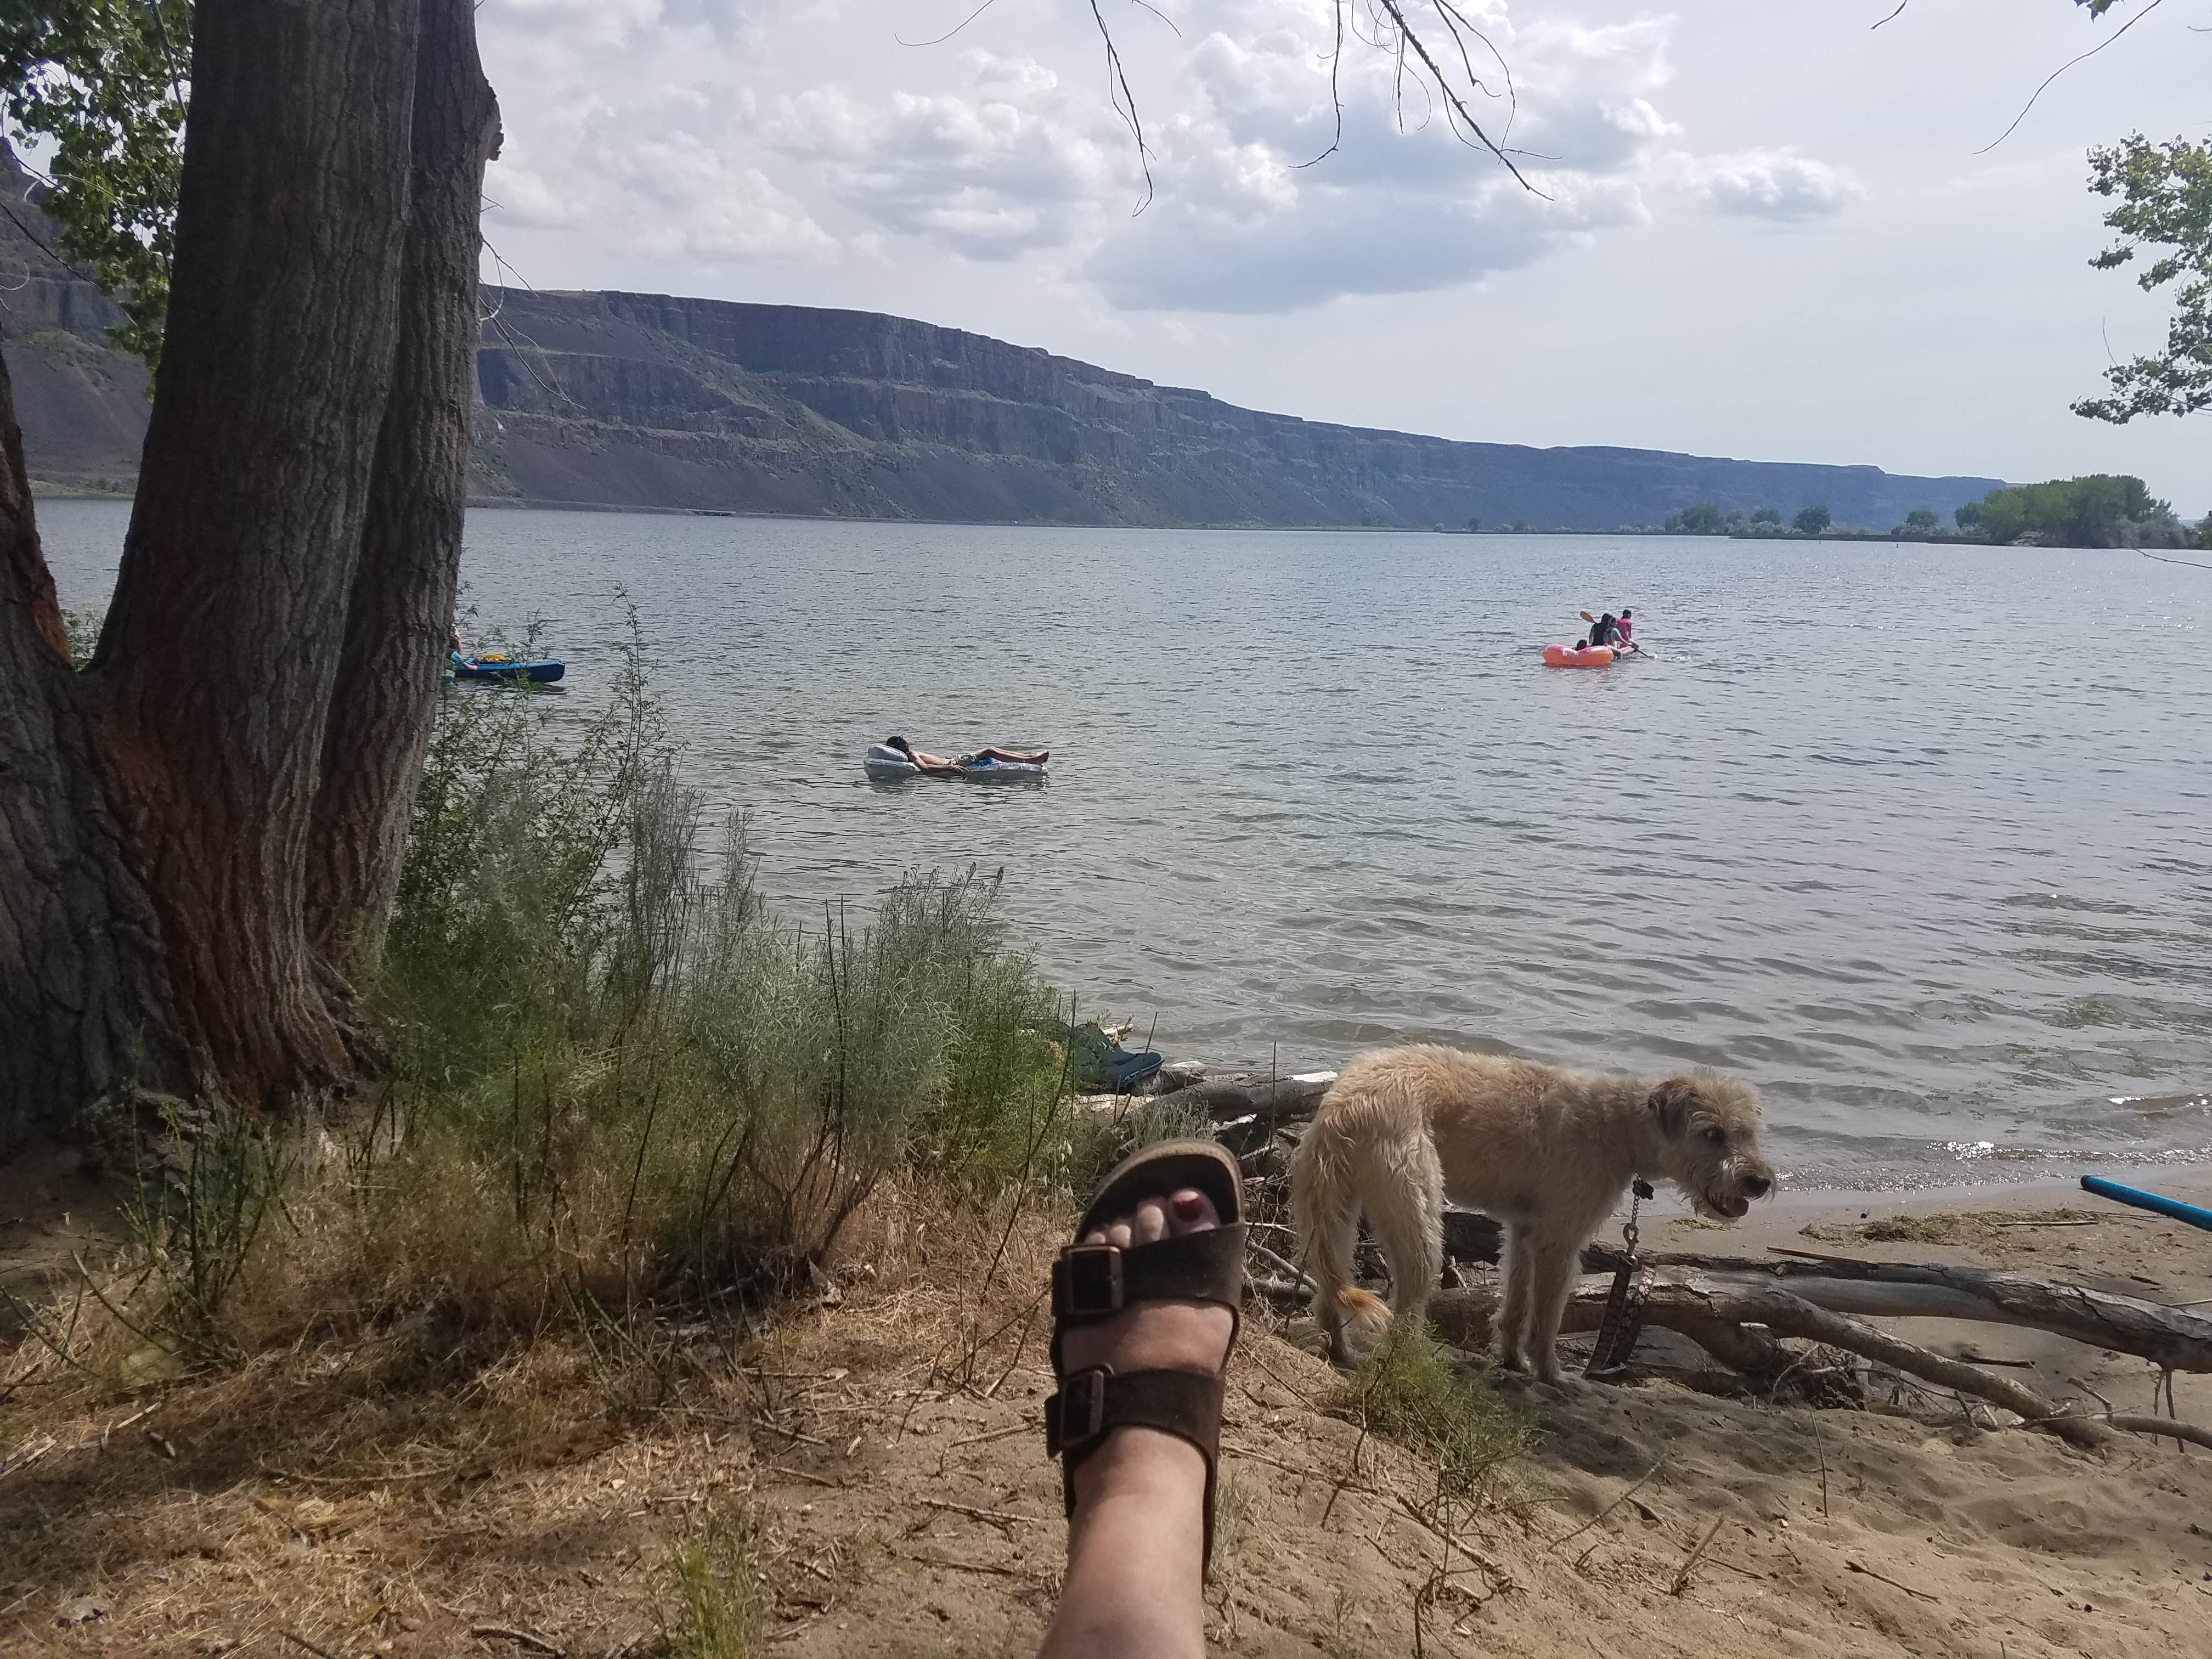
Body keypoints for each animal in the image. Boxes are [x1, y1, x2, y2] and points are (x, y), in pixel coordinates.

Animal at [1291, 1044, 1778, 1380]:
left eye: (1748, 1132)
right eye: (1712, 1134)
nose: (1760, 1182)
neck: (1616, 1127)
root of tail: (1343, 1106)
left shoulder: (1524, 1230)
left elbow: (1516, 1301)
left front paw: (1512, 1360)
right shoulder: (1560, 1241)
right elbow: (1547, 1315)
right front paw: (1551, 1374)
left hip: (1337, 1210)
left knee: (1331, 1292)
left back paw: (1343, 1352)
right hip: (1415, 1214)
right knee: (1405, 1310)